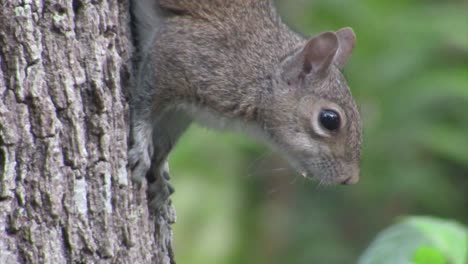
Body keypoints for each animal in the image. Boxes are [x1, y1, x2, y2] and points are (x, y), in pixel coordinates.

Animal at [128, 0, 362, 210]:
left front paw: (159, 178)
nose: (351, 179)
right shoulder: (178, 54)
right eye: (329, 120)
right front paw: (141, 144)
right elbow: (145, 106)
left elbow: (163, 144)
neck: (257, 73)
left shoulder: (181, 112)